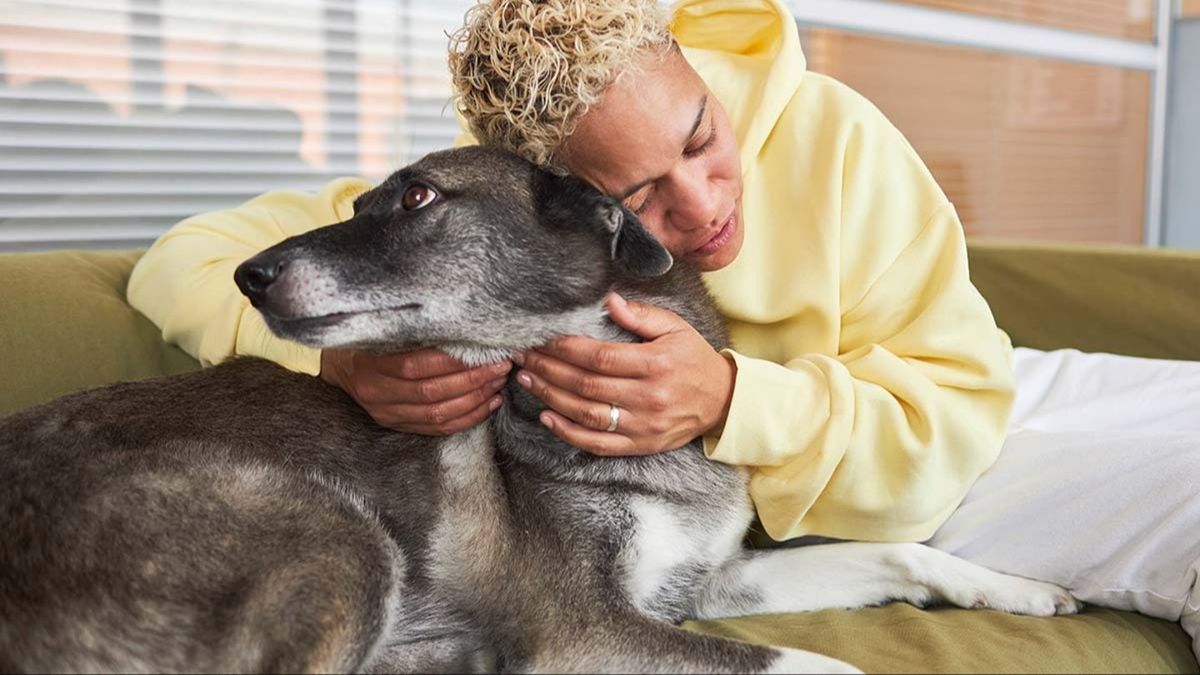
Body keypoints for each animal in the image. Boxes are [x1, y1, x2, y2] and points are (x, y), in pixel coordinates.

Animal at [0, 146, 1080, 673]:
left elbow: (899, 553)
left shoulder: (705, 584)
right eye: (358, 205)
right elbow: (821, 668)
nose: (249, 276)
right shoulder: (588, 632)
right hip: (331, 540)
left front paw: (1021, 590)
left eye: (417, 199)